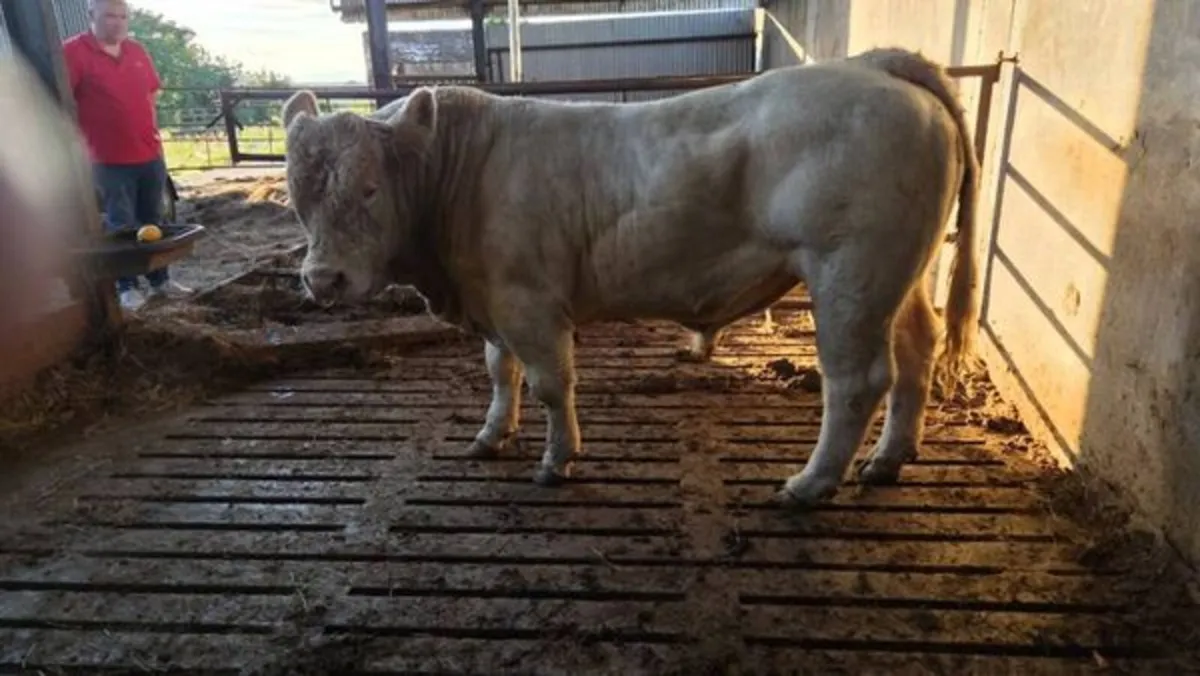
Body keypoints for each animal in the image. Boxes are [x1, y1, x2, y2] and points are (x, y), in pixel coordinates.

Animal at [279, 46, 980, 507]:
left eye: (370, 189)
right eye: (297, 192)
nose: (323, 279)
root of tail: (871, 65)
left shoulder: (530, 303)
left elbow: (549, 383)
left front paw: (557, 459)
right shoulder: (496, 302)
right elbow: (500, 372)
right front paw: (491, 435)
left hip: (848, 274)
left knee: (857, 380)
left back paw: (810, 483)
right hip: (901, 276)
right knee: (917, 349)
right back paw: (888, 459)